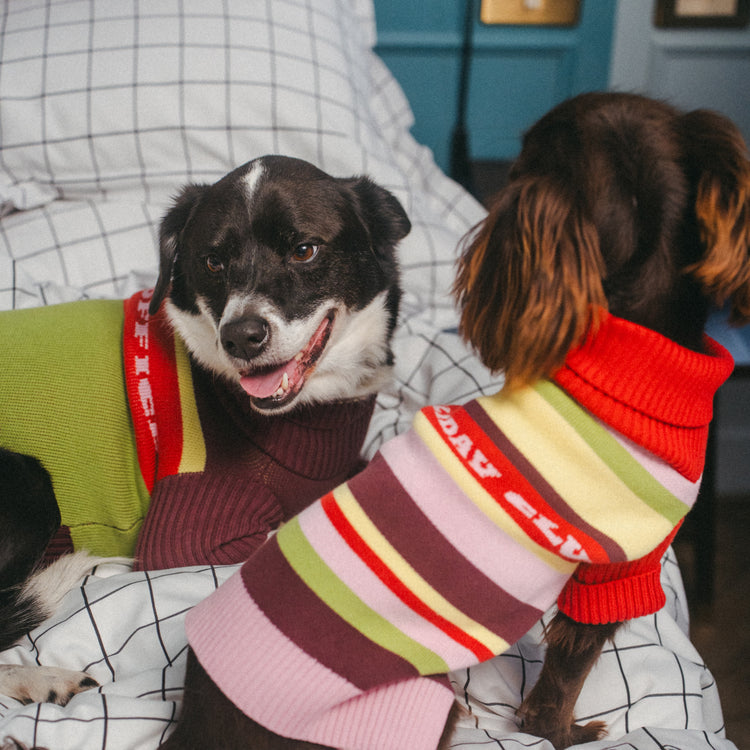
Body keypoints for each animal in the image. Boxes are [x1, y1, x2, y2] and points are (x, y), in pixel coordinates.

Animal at [0, 154, 412, 712]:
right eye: (213, 262)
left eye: (304, 250)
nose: (240, 337)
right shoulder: (185, 535)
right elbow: (288, 537)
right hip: (30, 485)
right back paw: (39, 678)